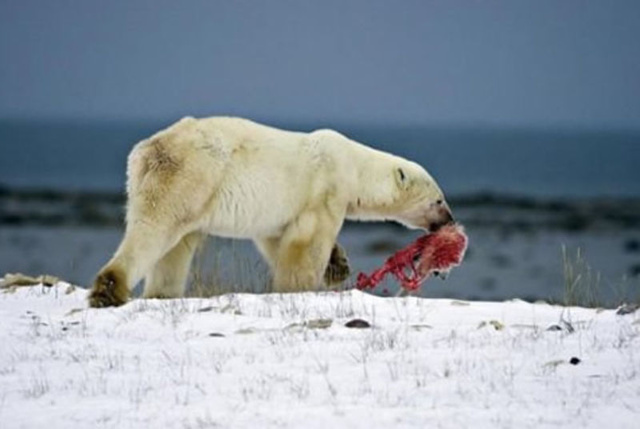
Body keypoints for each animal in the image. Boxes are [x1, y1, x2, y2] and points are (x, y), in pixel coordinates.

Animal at [89, 115, 456, 306]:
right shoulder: (325, 187)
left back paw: (161, 294)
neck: (354, 165)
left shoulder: (280, 208)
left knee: (176, 246)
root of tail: (148, 150)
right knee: (155, 229)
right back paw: (109, 290)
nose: (449, 220)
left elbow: (275, 238)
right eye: (439, 200)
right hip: (192, 175)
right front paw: (301, 287)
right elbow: (308, 241)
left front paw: (338, 265)